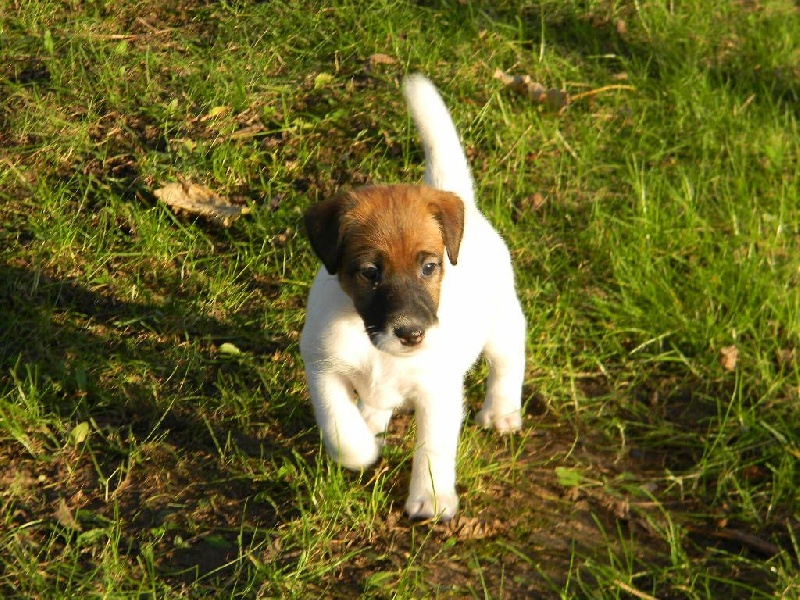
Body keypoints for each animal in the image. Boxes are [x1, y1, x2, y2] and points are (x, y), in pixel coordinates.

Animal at [300, 74, 524, 520]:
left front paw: (432, 499)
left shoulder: (438, 390)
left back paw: (501, 411)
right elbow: (339, 427)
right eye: (370, 272)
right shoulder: (322, 366)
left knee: (509, 360)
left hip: (501, 323)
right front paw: (362, 449)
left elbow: (434, 449)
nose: (412, 335)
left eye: (429, 267)